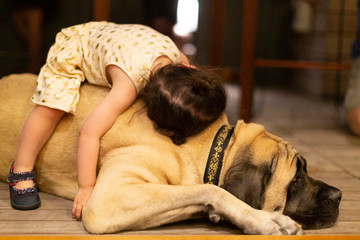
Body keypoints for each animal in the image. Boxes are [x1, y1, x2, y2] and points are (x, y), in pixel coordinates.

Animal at [1, 73, 342, 234]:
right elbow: (209, 189)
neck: (208, 146)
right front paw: (263, 220)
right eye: (294, 181)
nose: (339, 196)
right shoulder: (108, 199)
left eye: (305, 169)